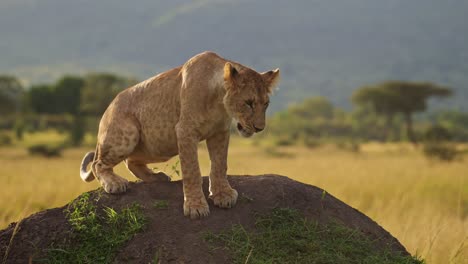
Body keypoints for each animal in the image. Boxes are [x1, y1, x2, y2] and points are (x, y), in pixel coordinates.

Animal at [78, 51, 280, 219]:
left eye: (266, 104)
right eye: (248, 103)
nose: (260, 128)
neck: (219, 102)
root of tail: (106, 111)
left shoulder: (220, 133)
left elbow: (219, 165)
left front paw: (223, 195)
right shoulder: (185, 131)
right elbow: (192, 170)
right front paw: (196, 207)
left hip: (157, 147)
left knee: (131, 161)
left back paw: (157, 178)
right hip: (128, 133)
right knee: (98, 164)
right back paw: (115, 183)